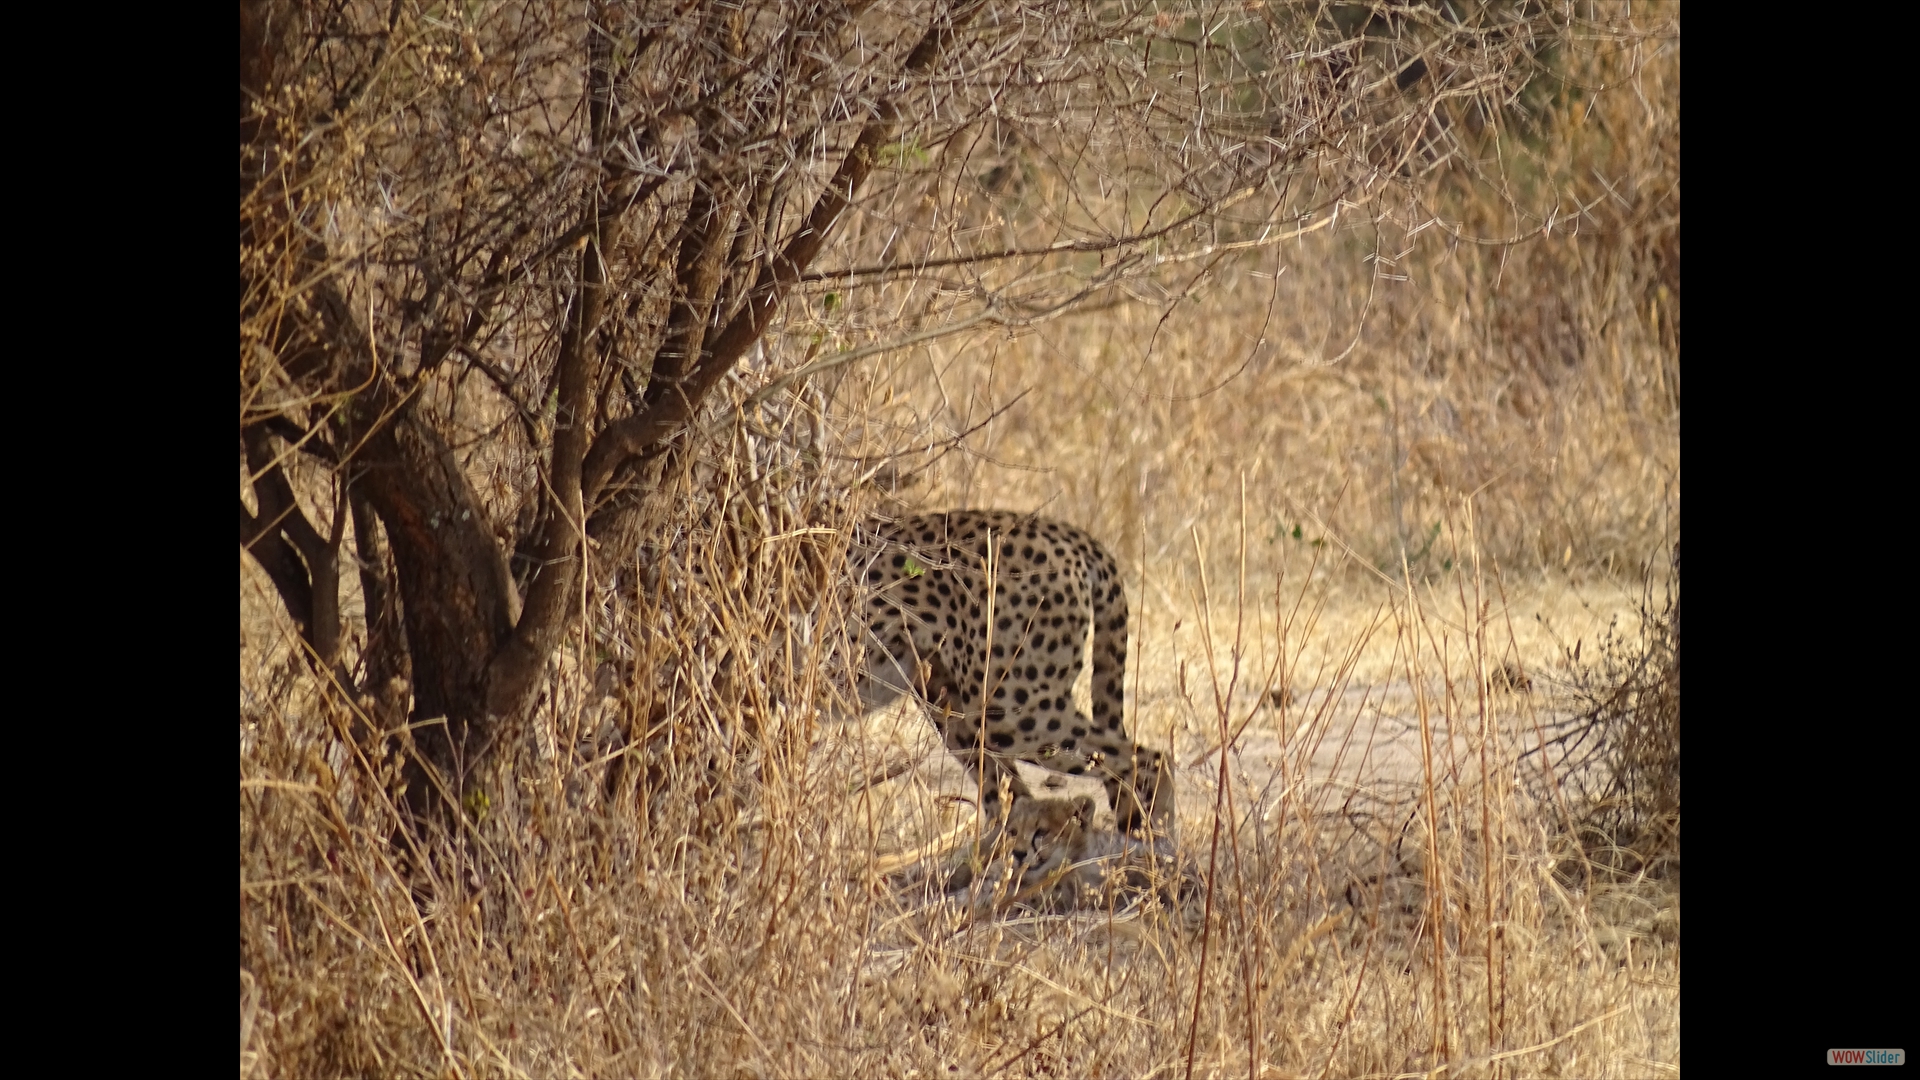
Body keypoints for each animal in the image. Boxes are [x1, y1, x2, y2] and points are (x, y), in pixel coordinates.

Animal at [852, 507, 1175, 837]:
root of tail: (1067, 532)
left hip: (1008, 710)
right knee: (1011, 795)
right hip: (957, 707)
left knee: (1152, 759)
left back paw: (1155, 840)